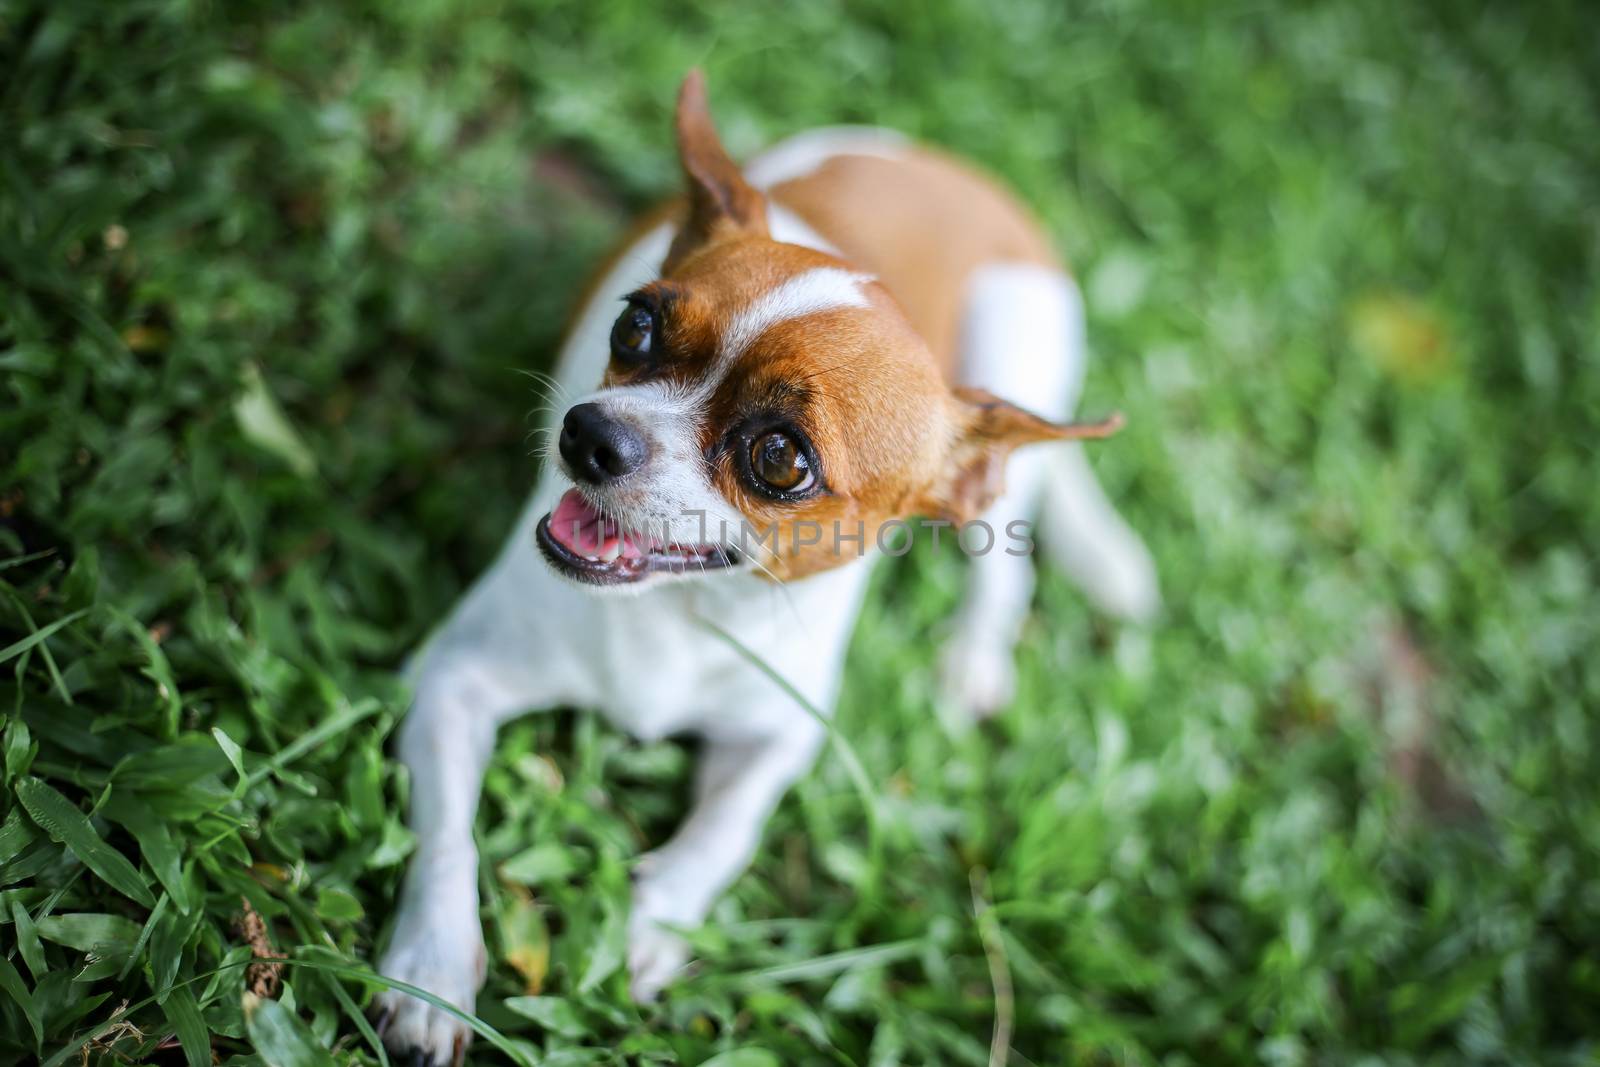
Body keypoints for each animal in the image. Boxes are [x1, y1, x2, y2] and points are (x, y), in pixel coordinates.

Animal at [372, 70, 1152, 1062]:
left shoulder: (779, 736)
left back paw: (972, 659)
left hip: (1016, 359)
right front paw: (430, 970)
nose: (588, 432)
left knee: (1004, 555)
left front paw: (648, 927)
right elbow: (446, 839)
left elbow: (725, 829)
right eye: (634, 327)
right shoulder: (451, 681)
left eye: (780, 458)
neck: (686, 607)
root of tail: (956, 170)